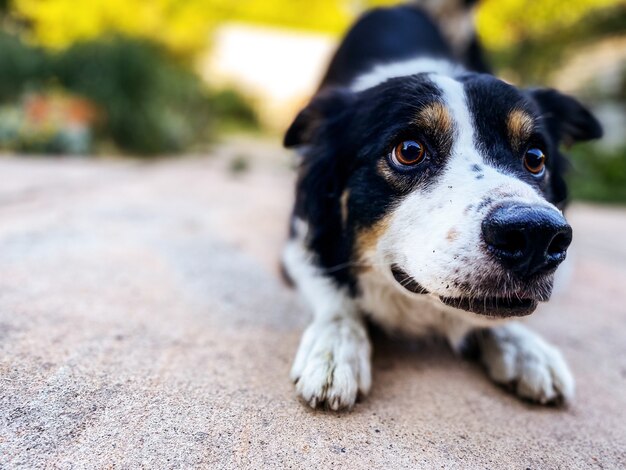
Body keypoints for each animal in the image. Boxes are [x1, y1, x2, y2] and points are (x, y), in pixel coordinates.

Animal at [280, 0, 600, 410]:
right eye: (409, 150)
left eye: (535, 158)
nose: (536, 236)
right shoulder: (299, 235)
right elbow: (334, 294)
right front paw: (335, 348)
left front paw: (524, 347)